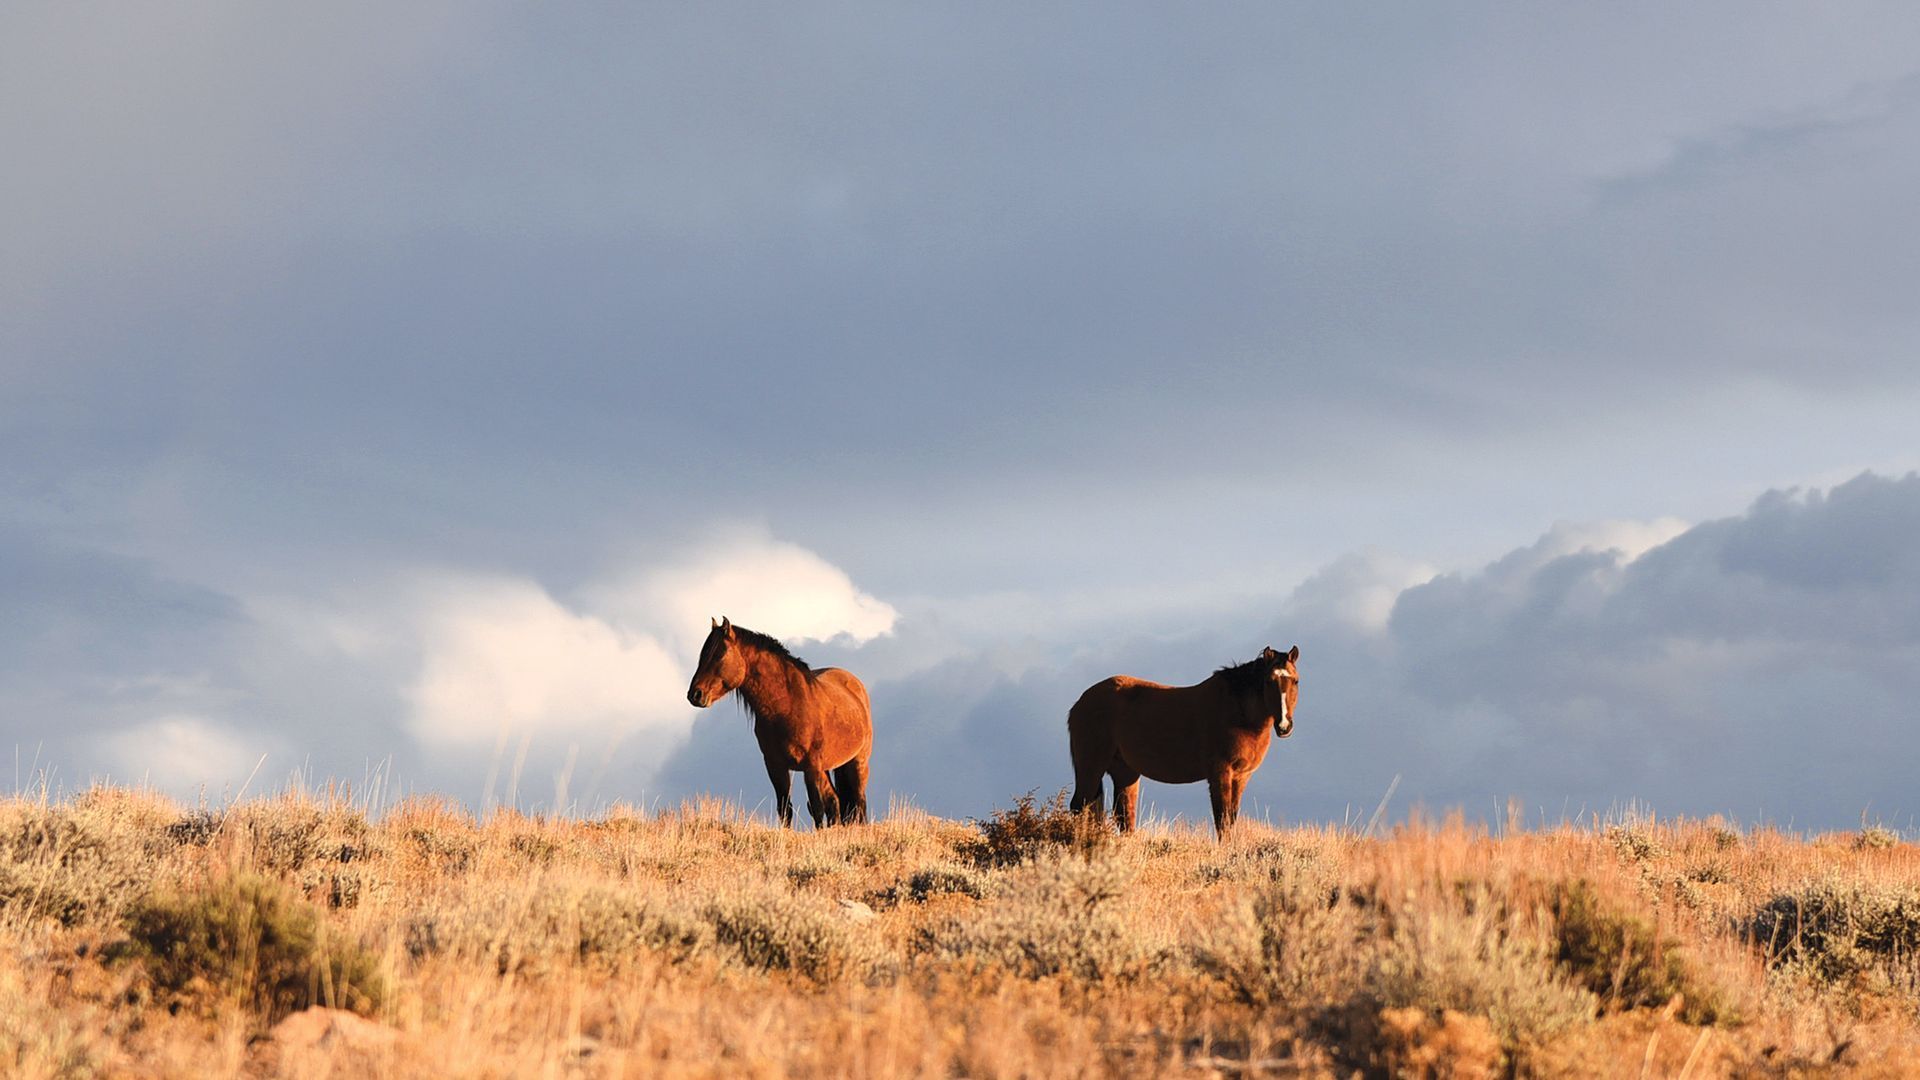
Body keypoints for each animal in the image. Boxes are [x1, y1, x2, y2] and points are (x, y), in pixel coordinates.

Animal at [687, 614, 875, 822]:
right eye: (703, 654)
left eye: (719, 655)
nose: (695, 694)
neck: (787, 706)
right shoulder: (776, 766)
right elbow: (785, 810)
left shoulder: (811, 767)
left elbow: (817, 808)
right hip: (826, 769)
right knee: (835, 802)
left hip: (857, 763)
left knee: (858, 804)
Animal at [1067, 641, 1305, 837]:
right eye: (1269, 681)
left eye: (1295, 681)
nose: (1284, 726)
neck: (1237, 711)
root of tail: (1080, 703)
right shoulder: (1220, 773)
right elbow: (1222, 821)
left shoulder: (1241, 777)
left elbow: (1231, 819)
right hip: (1091, 767)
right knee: (1080, 806)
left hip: (1125, 771)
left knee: (1124, 816)